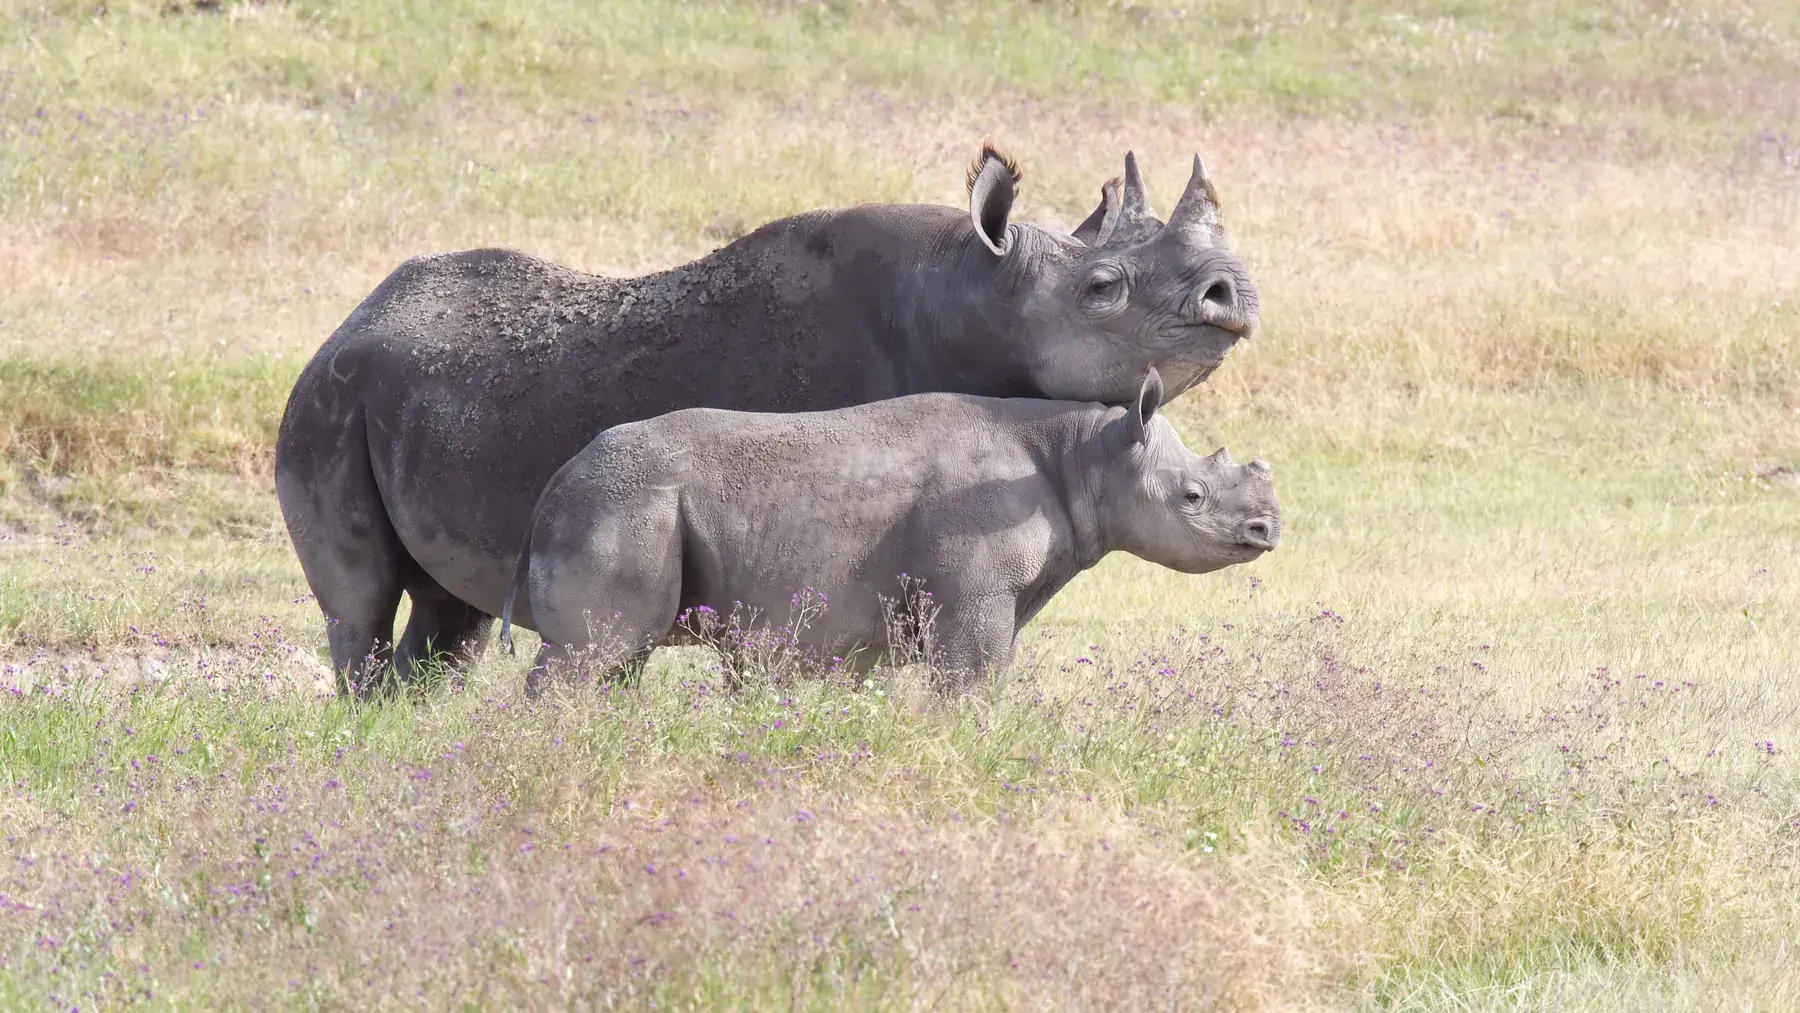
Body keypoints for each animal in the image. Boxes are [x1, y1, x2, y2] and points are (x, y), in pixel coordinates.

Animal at [498, 369, 1281, 692]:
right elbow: (973, 682)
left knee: (618, 660)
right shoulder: (974, 590)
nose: (1267, 530)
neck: (1088, 454)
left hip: (622, 506)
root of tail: (552, 487)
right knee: (592, 653)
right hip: (622, 505)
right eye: (1192, 495)